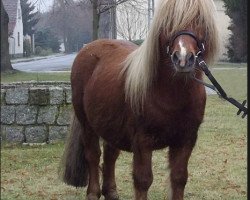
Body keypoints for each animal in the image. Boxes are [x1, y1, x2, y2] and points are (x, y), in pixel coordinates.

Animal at [60, 0, 219, 200]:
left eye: (200, 19)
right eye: (168, 21)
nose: (183, 58)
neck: (172, 96)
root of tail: (88, 48)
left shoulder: (185, 141)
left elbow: (179, 178)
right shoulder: (142, 142)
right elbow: (143, 180)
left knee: (110, 156)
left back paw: (111, 192)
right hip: (87, 124)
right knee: (93, 156)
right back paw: (93, 193)